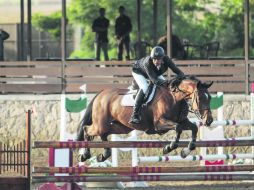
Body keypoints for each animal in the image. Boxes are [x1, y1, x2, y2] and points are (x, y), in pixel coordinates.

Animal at [76, 75, 213, 162]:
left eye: (210, 97)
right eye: (200, 98)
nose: (209, 120)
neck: (174, 98)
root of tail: (100, 94)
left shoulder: (182, 121)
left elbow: (194, 128)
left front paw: (186, 151)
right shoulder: (159, 124)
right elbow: (178, 128)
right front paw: (169, 147)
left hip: (119, 127)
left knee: (103, 135)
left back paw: (104, 155)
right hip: (101, 124)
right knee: (87, 130)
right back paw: (84, 155)